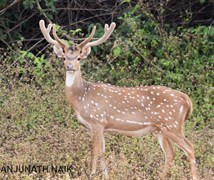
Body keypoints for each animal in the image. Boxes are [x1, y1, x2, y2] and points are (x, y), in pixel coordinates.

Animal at [38, 19, 197, 180]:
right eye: (64, 57)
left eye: (79, 58)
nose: (70, 66)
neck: (81, 98)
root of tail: (187, 100)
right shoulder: (101, 126)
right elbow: (102, 152)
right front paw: (105, 175)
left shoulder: (97, 121)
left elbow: (94, 151)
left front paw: (92, 174)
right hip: (160, 129)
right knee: (170, 153)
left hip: (172, 124)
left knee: (190, 147)